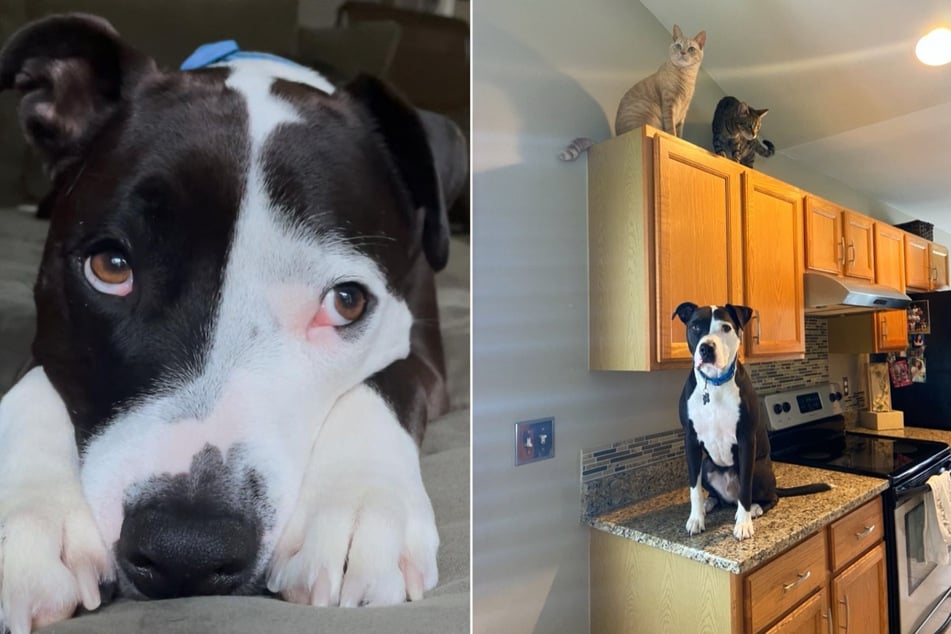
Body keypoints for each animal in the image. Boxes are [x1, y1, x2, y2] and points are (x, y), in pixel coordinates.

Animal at [0, 14, 468, 632]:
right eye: (111, 267)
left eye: (346, 301)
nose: (187, 548)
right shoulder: (49, 335)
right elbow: (31, 387)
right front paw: (30, 513)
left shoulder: (423, 347)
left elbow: (386, 379)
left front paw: (358, 504)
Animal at [556, 25, 708, 162]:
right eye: (678, 46)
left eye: (691, 49)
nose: (683, 53)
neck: (686, 77)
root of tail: (615, 136)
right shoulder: (669, 104)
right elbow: (671, 129)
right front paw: (674, 139)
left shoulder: (683, 111)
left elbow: (679, 131)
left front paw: (681, 142)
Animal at [672, 302, 828, 540]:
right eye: (695, 326)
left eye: (726, 328)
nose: (706, 348)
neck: (715, 384)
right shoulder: (690, 441)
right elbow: (694, 488)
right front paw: (696, 518)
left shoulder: (746, 440)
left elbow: (745, 489)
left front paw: (743, 525)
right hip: (708, 464)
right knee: (717, 495)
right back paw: (711, 503)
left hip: (759, 469)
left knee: (769, 497)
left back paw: (754, 508)